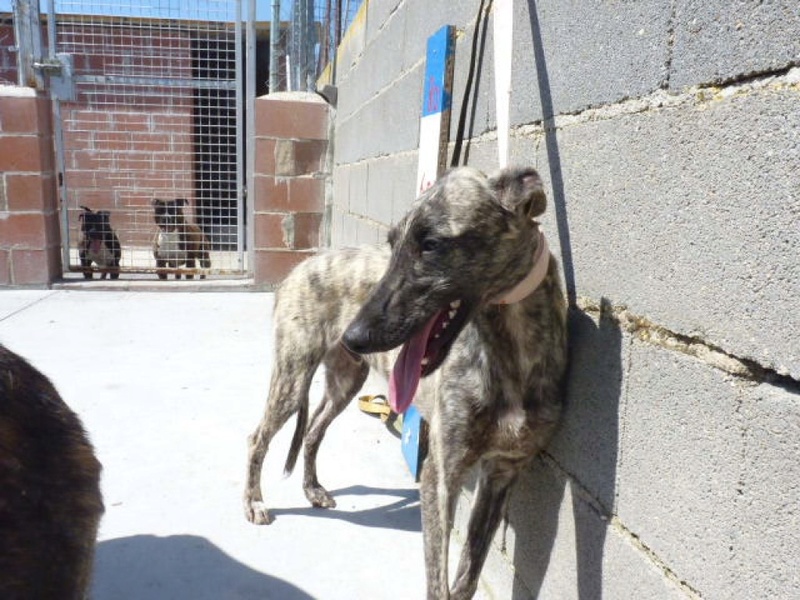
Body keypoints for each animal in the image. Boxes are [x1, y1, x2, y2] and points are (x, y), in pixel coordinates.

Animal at [244, 165, 568, 600]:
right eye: (392, 243)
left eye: (431, 244)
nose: (354, 336)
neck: (508, 352)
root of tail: (301, 266)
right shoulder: (440, 474)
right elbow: (439, 584)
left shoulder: (504, 471)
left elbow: (466, 578)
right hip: (293, 376)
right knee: (257, 437)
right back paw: (254, 503)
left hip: (346, 381)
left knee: (312, 431)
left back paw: (312, 489)